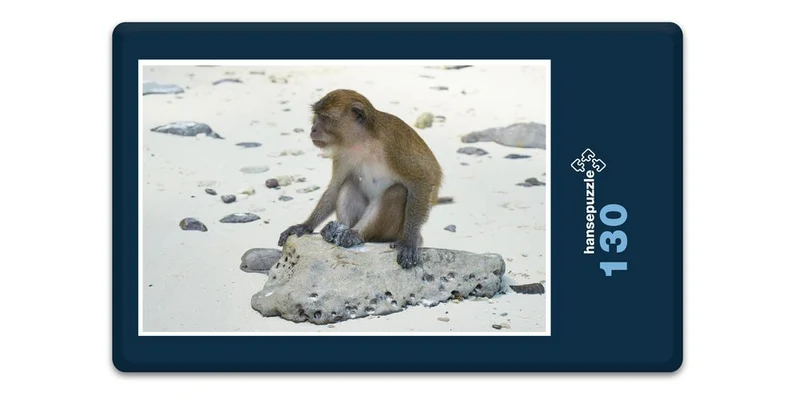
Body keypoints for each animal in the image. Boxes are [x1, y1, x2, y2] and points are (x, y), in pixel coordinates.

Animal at [277, 89, 444, 269]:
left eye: (325, 117)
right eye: (317, 116)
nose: (313, 129)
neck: (364, 141)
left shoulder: (395, 145)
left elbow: (422, 181)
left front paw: (409, 241)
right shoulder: (343, 153)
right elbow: (335, 187)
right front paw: (305, 226)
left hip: (394, 231)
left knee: (397, 191)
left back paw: (357, 234)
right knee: (349, 184)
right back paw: (339, 230)